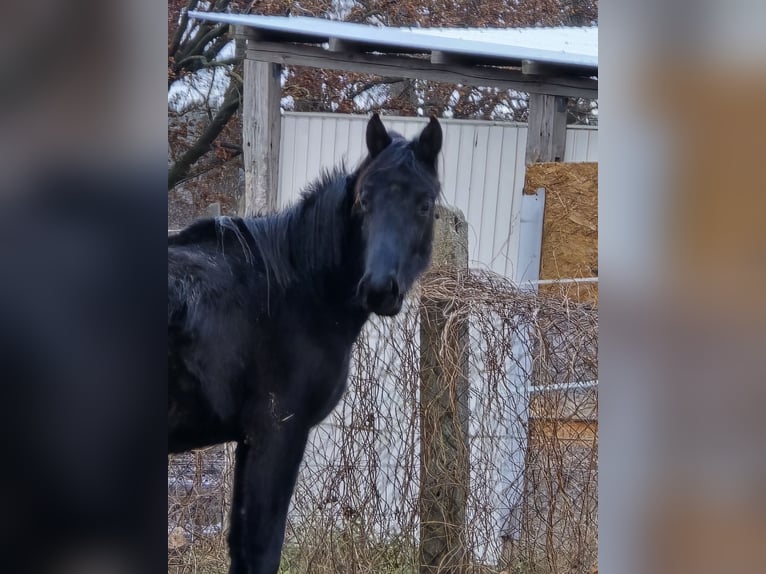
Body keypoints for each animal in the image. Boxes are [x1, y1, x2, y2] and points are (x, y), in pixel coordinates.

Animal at [168, 115, 444, 572]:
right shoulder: (278, 433)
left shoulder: (250, 441)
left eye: (425, 204)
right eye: (363, 201)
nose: (378, 288)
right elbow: (261, 549)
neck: (291, 287)